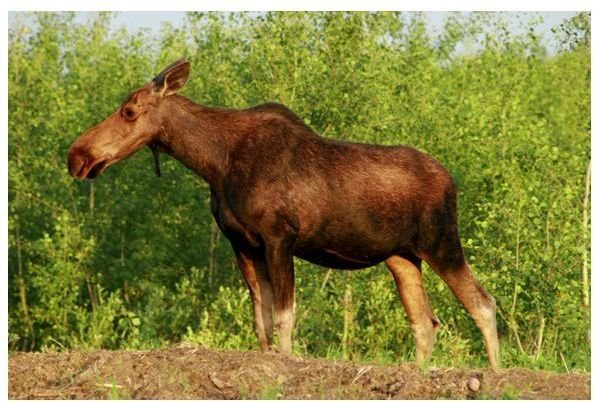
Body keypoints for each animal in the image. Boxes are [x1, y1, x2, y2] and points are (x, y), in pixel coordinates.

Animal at [67, 58, 498, 370]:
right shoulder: (242, 244)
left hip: (441, 242)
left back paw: (496, 374)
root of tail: (451, 180)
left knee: (482, 302)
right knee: (425, 321)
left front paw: (287, 366)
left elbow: (284, 315)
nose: (77, 155)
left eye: (129, 111)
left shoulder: (279, 237)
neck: (214, 163)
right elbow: (261, 318)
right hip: (402, 257)